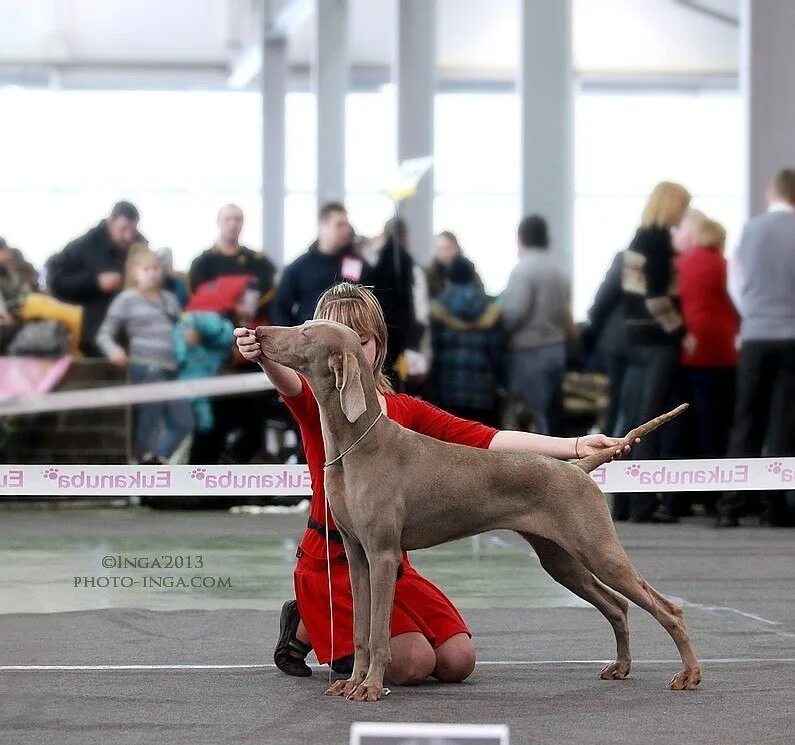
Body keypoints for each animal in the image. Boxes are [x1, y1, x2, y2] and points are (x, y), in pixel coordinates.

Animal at [256, 322, 704, 700]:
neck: (356, 445)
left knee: (667, 608)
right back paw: (622, 666)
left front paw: (370, 688)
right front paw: (351, 683)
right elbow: (361, 631)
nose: (258, 332)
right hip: (561, 559)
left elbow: (380, 633)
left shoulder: (382, 554)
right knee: (617, 605)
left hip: (598, 549)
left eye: (305, 333)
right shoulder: (356, 554)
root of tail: (576, 468)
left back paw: (689, 675)